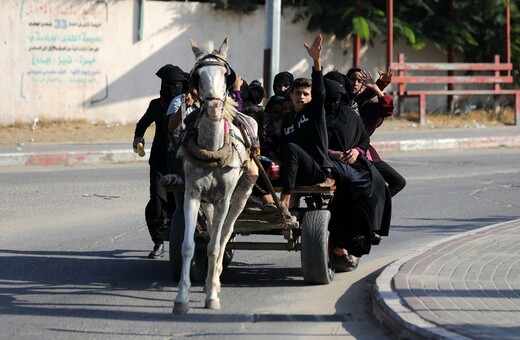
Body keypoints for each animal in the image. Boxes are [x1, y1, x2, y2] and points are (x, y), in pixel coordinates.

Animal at [174, 37, 258, 314]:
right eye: (198, 75)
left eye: (225, 74)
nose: (212, 108)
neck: (212, 148)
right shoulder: (192, 195)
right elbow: (188, 246)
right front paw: (181, 298)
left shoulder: (224, 199)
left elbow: (214, 246)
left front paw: (212, 295)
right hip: (207, 201)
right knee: (213, 230)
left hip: (241, 195)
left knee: (225, 234)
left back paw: (216, 279)